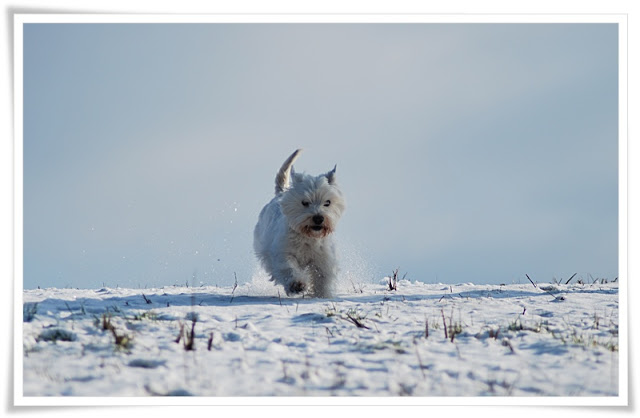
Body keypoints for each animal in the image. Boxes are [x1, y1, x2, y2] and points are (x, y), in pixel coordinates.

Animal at [254, 149, 344, 298]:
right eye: (304, 202)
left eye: (327, 202)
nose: (318, 218)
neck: (308, 236)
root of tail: (281, 193)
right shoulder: (283, 252)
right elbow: (288, 267)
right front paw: (298, 285)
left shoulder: (323, 258)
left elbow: (323, 276)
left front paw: (321, 295)